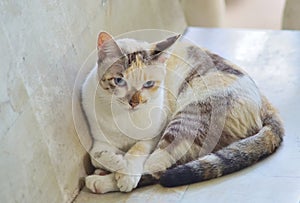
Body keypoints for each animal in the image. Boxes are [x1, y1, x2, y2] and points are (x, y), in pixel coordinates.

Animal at [81, 30, 284, 193]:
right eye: (119, 81)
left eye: (148, 84)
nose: (134, 102)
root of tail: (266, 104)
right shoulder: (98, 141)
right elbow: (96, 156)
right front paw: (116, 162)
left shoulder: (154, 134)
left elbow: (137, 151)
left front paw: (125, 173)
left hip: (187, 118)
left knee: (158, 168)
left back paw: (101, 181)